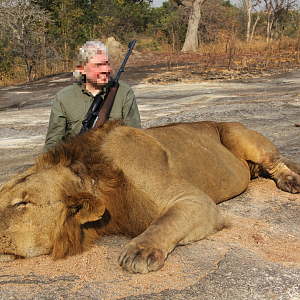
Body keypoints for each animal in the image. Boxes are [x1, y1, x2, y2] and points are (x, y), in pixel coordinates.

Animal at [0, 120, 300, 274]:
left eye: (22, 203)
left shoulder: (194, 199)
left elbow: (164, 222)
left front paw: (140, 251)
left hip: (238, 134)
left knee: (276, 162)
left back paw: (291, 181)